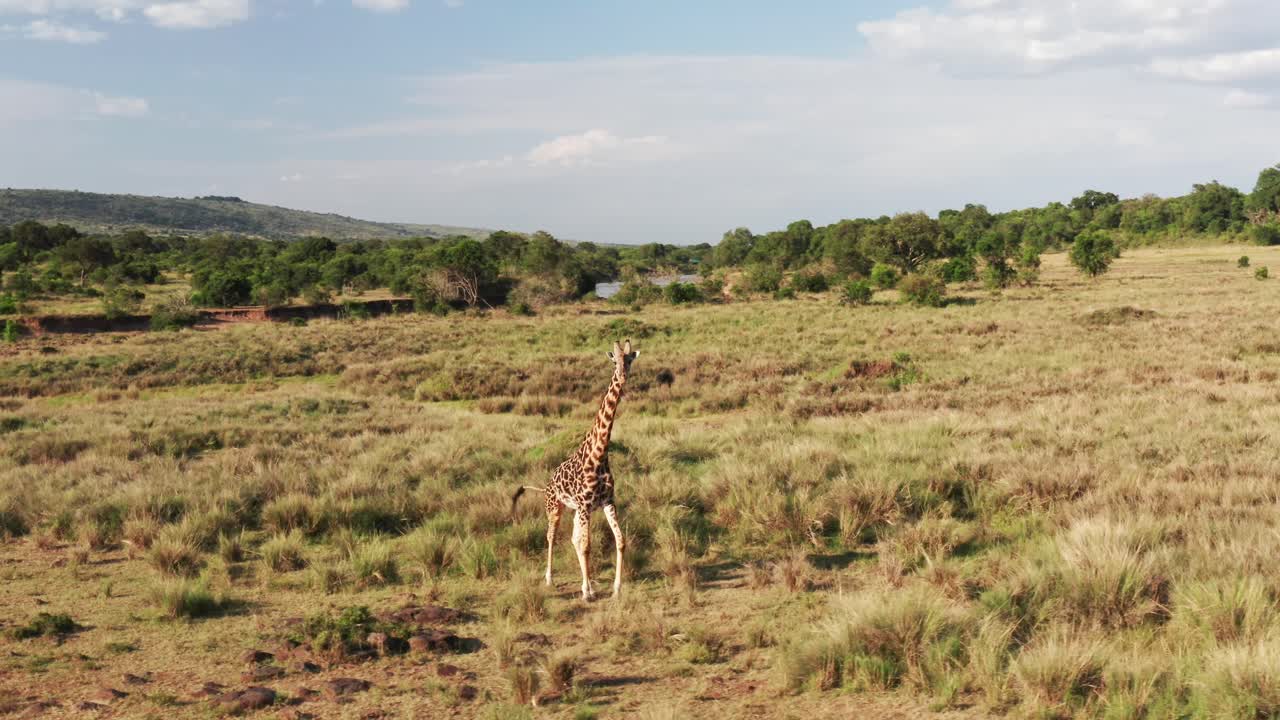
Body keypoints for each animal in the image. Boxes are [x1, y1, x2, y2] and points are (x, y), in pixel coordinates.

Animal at [512, 339, 639, 601]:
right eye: (614, 361)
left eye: (630, 360)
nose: (622, 377)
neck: (599, 455)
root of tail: (547, 484)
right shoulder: (585, 505)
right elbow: (587, 545)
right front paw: (587, 593)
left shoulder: (607, 502)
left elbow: (620, 541)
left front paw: (615, 588)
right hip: (555, 508)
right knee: (551, 536)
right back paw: (550, 579)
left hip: (574, 511)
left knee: (573, 538)